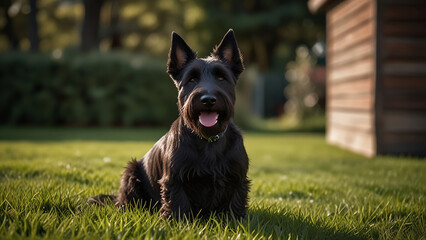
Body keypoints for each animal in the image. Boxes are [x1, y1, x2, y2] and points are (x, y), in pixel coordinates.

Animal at [90, 28, 250, 219]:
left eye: (221, 78)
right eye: (192, 79)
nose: (208, 99)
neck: (207, 140)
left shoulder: (237, 179)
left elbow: (235, 203)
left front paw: (235, 220)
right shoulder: (175, 180)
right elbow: (178, 204)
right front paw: (178, 222)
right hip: (131, 173)